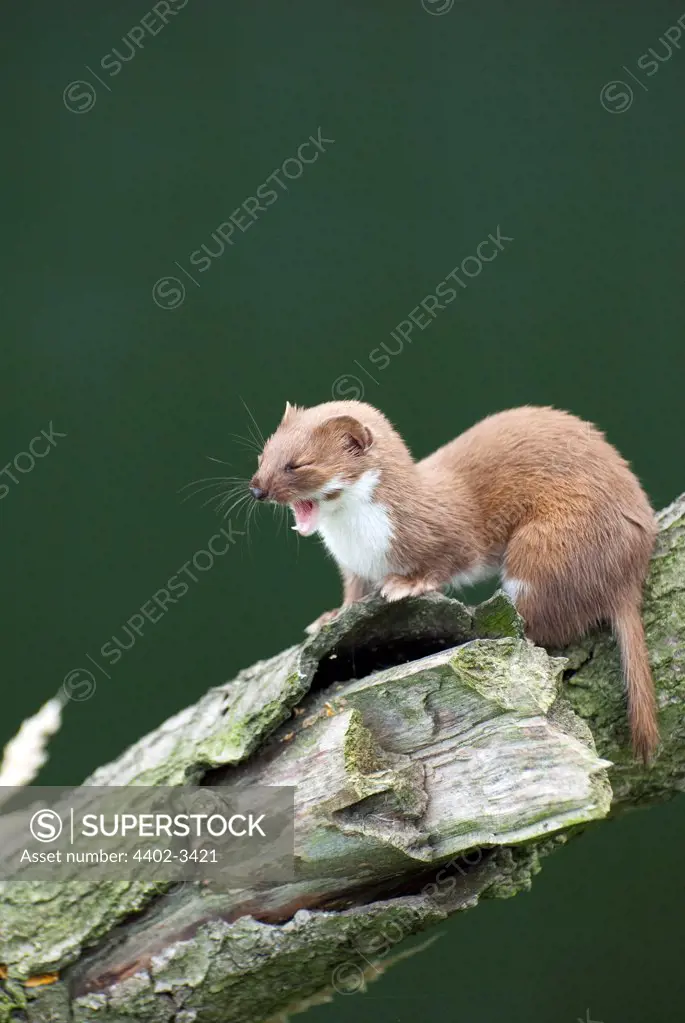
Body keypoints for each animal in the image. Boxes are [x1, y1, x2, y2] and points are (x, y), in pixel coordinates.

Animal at [250, 398, 658, 761]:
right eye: (262, 455)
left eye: (297, 464)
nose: (256, 489)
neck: (361, 544)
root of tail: (630, 570)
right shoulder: (355, 569)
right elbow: (354, 593)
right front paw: (331, 616)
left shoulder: (451, 535)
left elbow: (450, 559)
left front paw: (407, 584)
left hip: (545, 545)